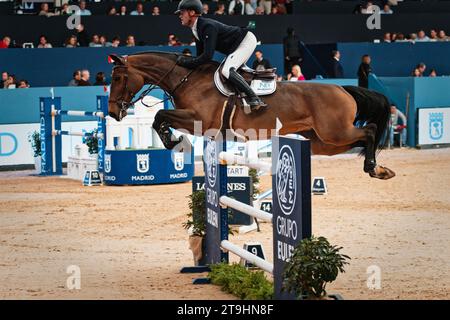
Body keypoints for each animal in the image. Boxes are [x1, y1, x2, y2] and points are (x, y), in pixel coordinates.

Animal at [108, 51, 394, 179]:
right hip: (323, 142)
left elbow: (160, 116)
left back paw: (373, 167)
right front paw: (173, 140)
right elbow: (160, 117)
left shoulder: (199, 120)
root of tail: (342, 88)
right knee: (359, 138)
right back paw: (378, 168)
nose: (112, 112)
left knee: (369, 131)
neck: (187, 79)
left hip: (334, 132)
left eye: (119, 78)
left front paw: (173, 141)